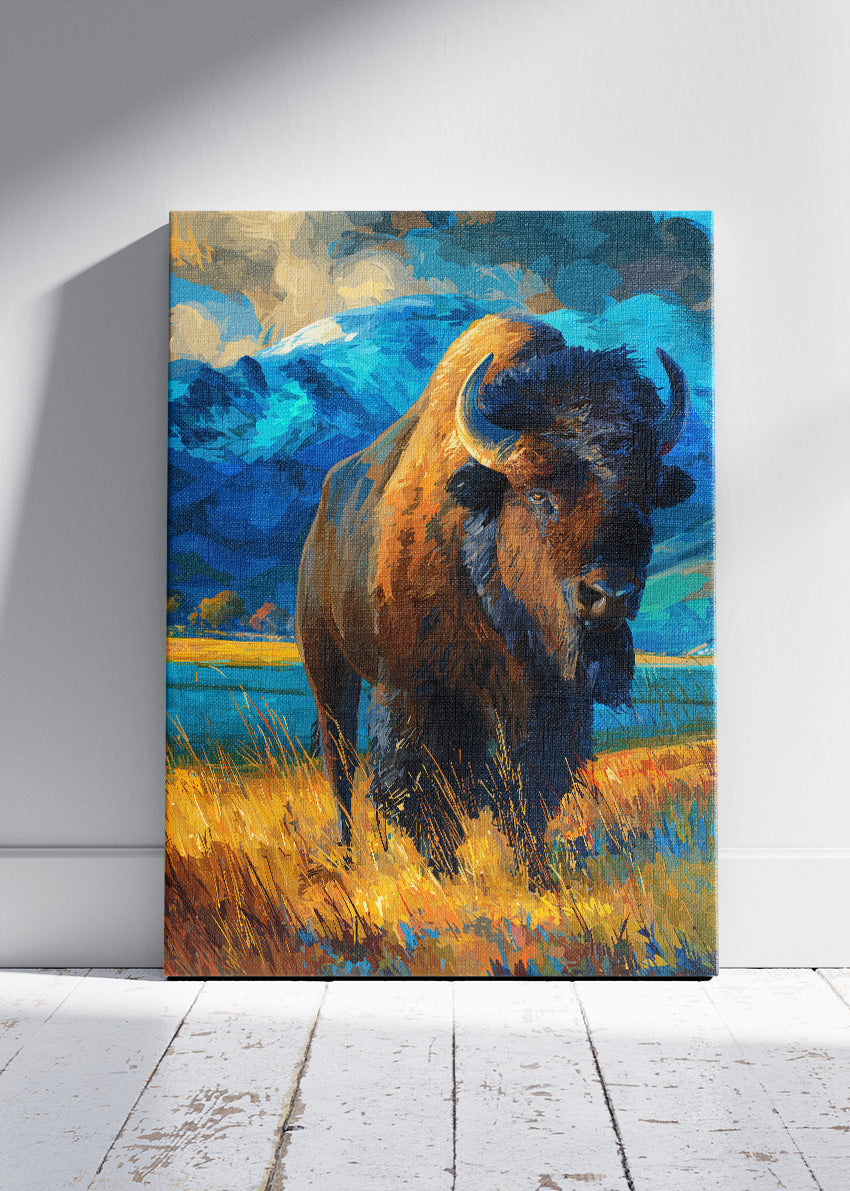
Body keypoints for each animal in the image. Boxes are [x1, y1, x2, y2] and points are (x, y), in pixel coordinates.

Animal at [295, 314, 693, 881]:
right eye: (538, 493)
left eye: (642, 497)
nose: (610, 594)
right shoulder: (416, 692)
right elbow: (423, 787)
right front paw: (442, 872)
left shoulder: (547, 703)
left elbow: (528, 788)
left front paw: (536, 875)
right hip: (327, 666)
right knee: (341, 764)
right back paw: (349, 856)